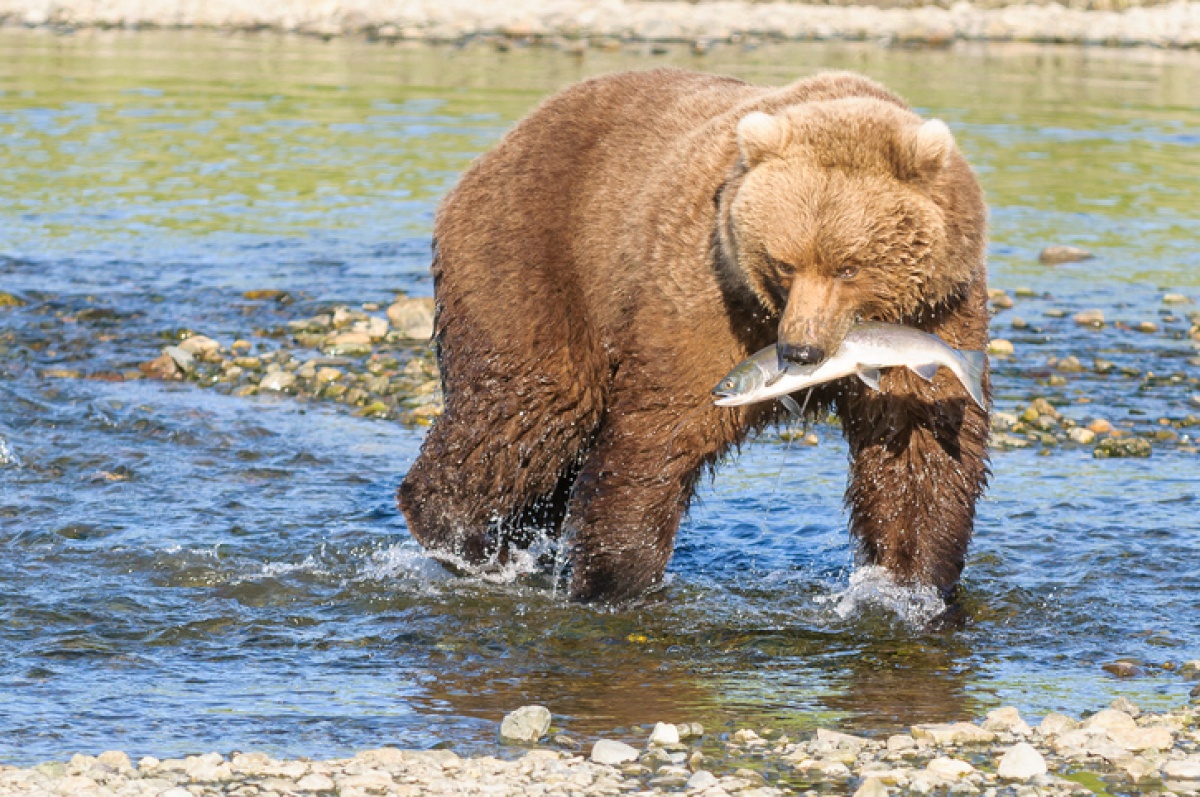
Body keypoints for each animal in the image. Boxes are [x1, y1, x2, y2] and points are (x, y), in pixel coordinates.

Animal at [398, 68, 988, 604]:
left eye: (849, 267)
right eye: (785, 263)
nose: (801, 351)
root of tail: (491, 154)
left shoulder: (937, 315)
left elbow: (920, 451)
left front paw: (908, 584)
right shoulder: (708, 301)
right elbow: (662, 432)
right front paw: (615, 577)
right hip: (534, 262)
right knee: (528, 412)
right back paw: (463, 539)